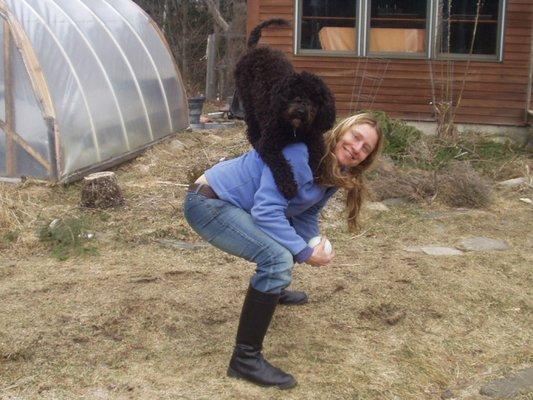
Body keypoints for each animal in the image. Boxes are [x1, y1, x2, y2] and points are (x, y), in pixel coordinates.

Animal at [235, 19, 334, 200]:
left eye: (314, 100)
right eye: (294, 95)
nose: (301, 111)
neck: (295, 130)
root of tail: (254, 49)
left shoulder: (315, 138)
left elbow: (317, 156)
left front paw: (317, 173)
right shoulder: (269, 144)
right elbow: (280, 164)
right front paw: (288, 186)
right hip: (248, 103)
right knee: (252, 132)